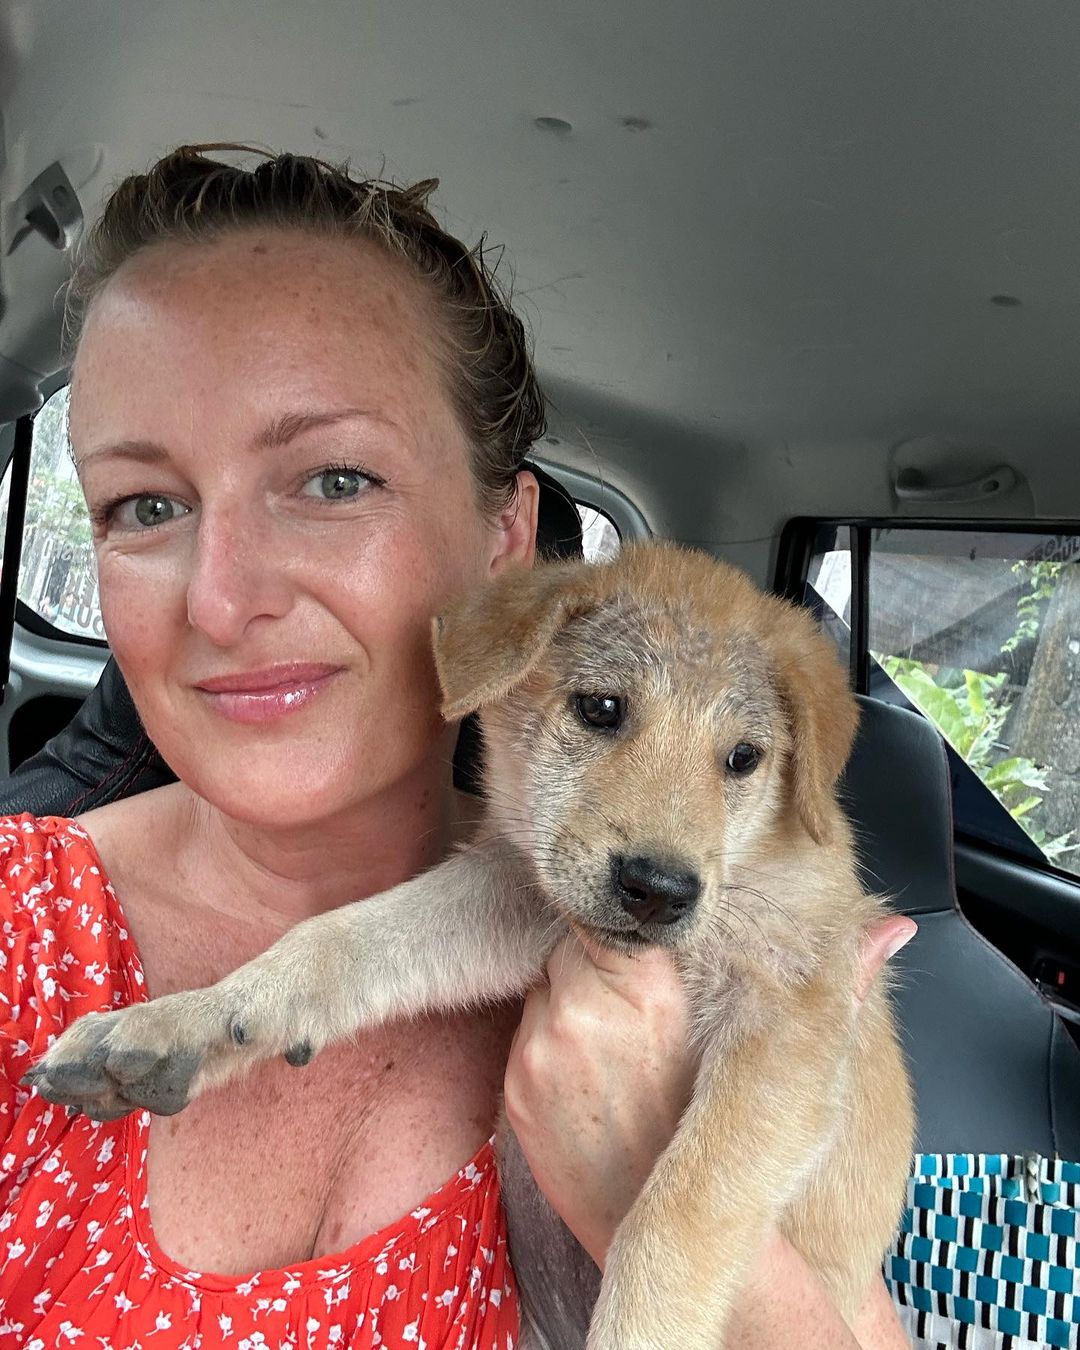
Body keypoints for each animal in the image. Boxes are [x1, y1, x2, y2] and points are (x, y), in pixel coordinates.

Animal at [27, 540, 912, 1350]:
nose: (660, 889)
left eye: (743, 759)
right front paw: (192, 1018)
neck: (744, 865)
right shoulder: (519, 894)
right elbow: (344, 938)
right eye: (600, 709)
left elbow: (679, 1208)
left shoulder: (791, 1014)